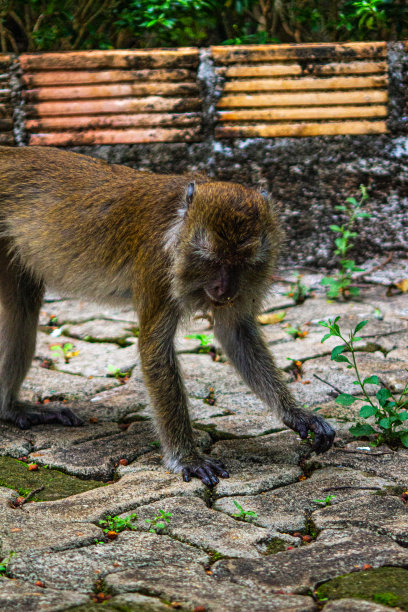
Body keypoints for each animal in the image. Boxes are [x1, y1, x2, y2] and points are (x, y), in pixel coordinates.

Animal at [0, 146, 334, 486]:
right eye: (210, 260)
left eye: (242, 262)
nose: (223, 288)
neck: (178, 225)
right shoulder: (158, 266)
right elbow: (154, 349)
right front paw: (187, 458)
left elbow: (236, 332)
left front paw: (296, 414)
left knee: (22, 310)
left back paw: (10, 409)